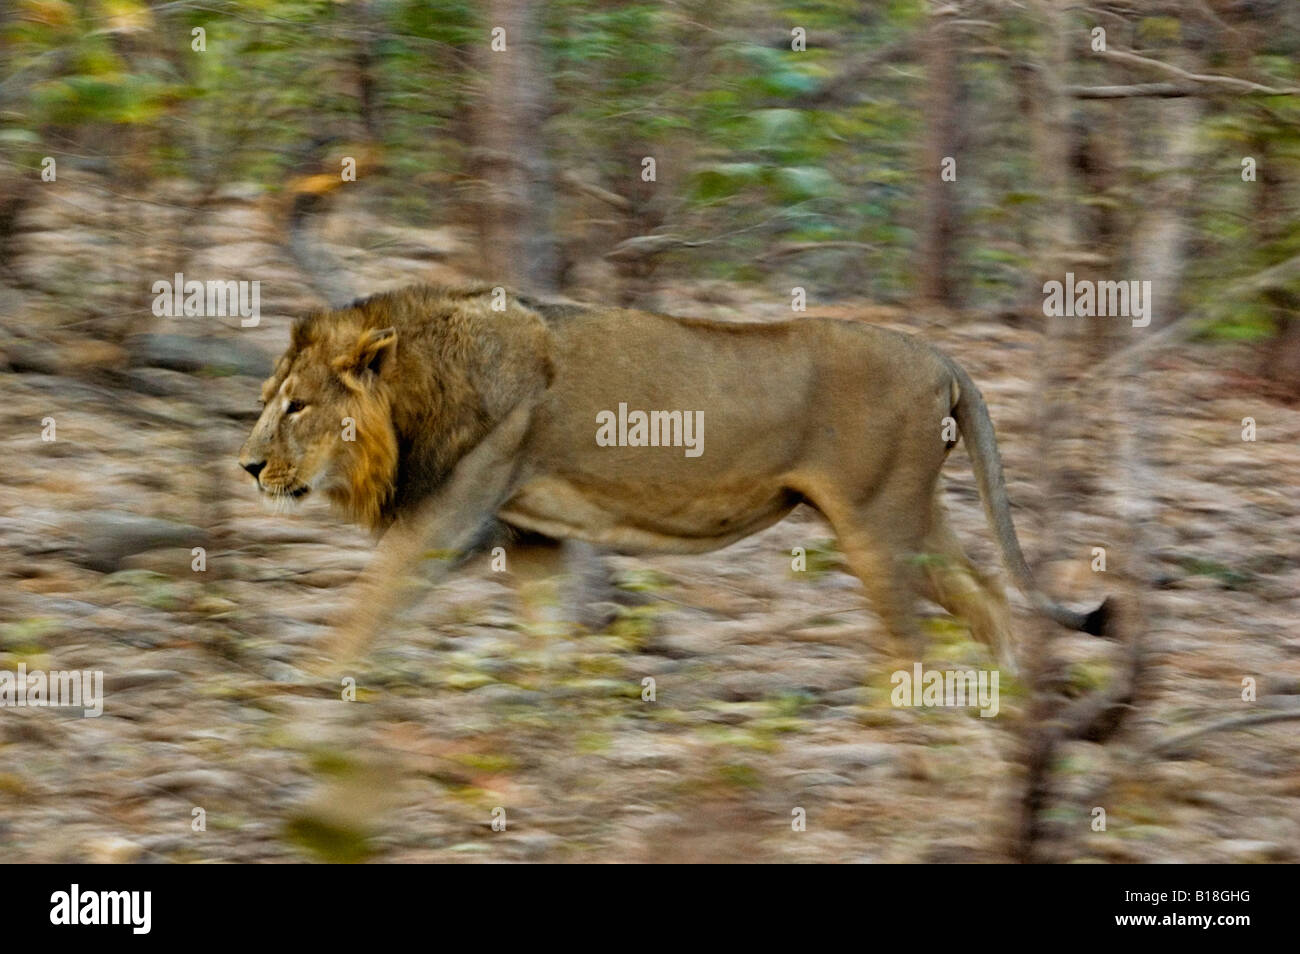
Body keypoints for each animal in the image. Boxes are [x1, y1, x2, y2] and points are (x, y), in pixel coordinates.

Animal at [236, 287, 1107, 670]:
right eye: (267, 400)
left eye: (298, 406)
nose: (246, 466)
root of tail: (940, 355)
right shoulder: (533, 537)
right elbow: (546, 640)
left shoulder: (443, 522)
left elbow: (364, 614)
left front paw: (308, 707)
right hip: (913, 517)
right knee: (986, 595)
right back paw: (1007, 707)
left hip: (877, 521)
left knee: (916, 637)